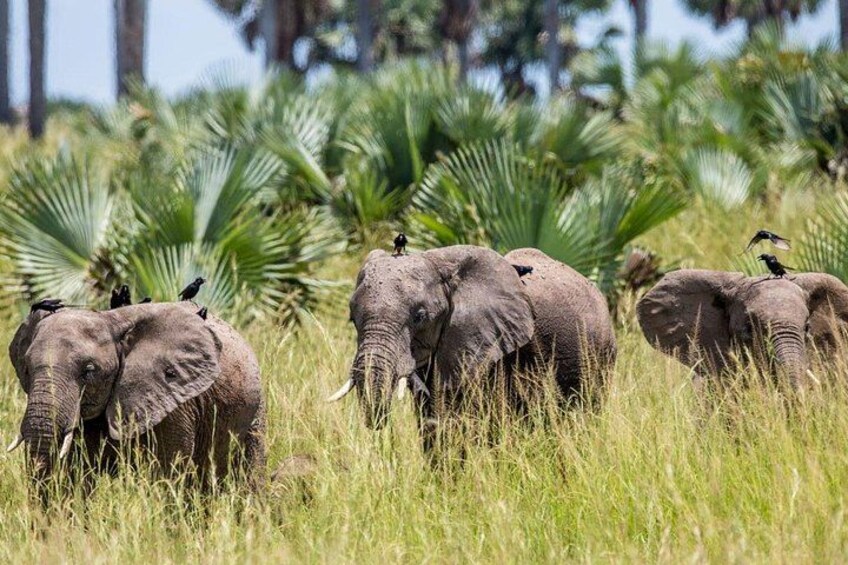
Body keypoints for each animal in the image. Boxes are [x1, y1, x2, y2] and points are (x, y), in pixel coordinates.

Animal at [6, 301, 266, 498]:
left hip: (255, 410)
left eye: (89, 371)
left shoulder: (173, 401)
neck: (110, 321)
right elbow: (74, 477)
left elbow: (168, 472)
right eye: (26, 369)